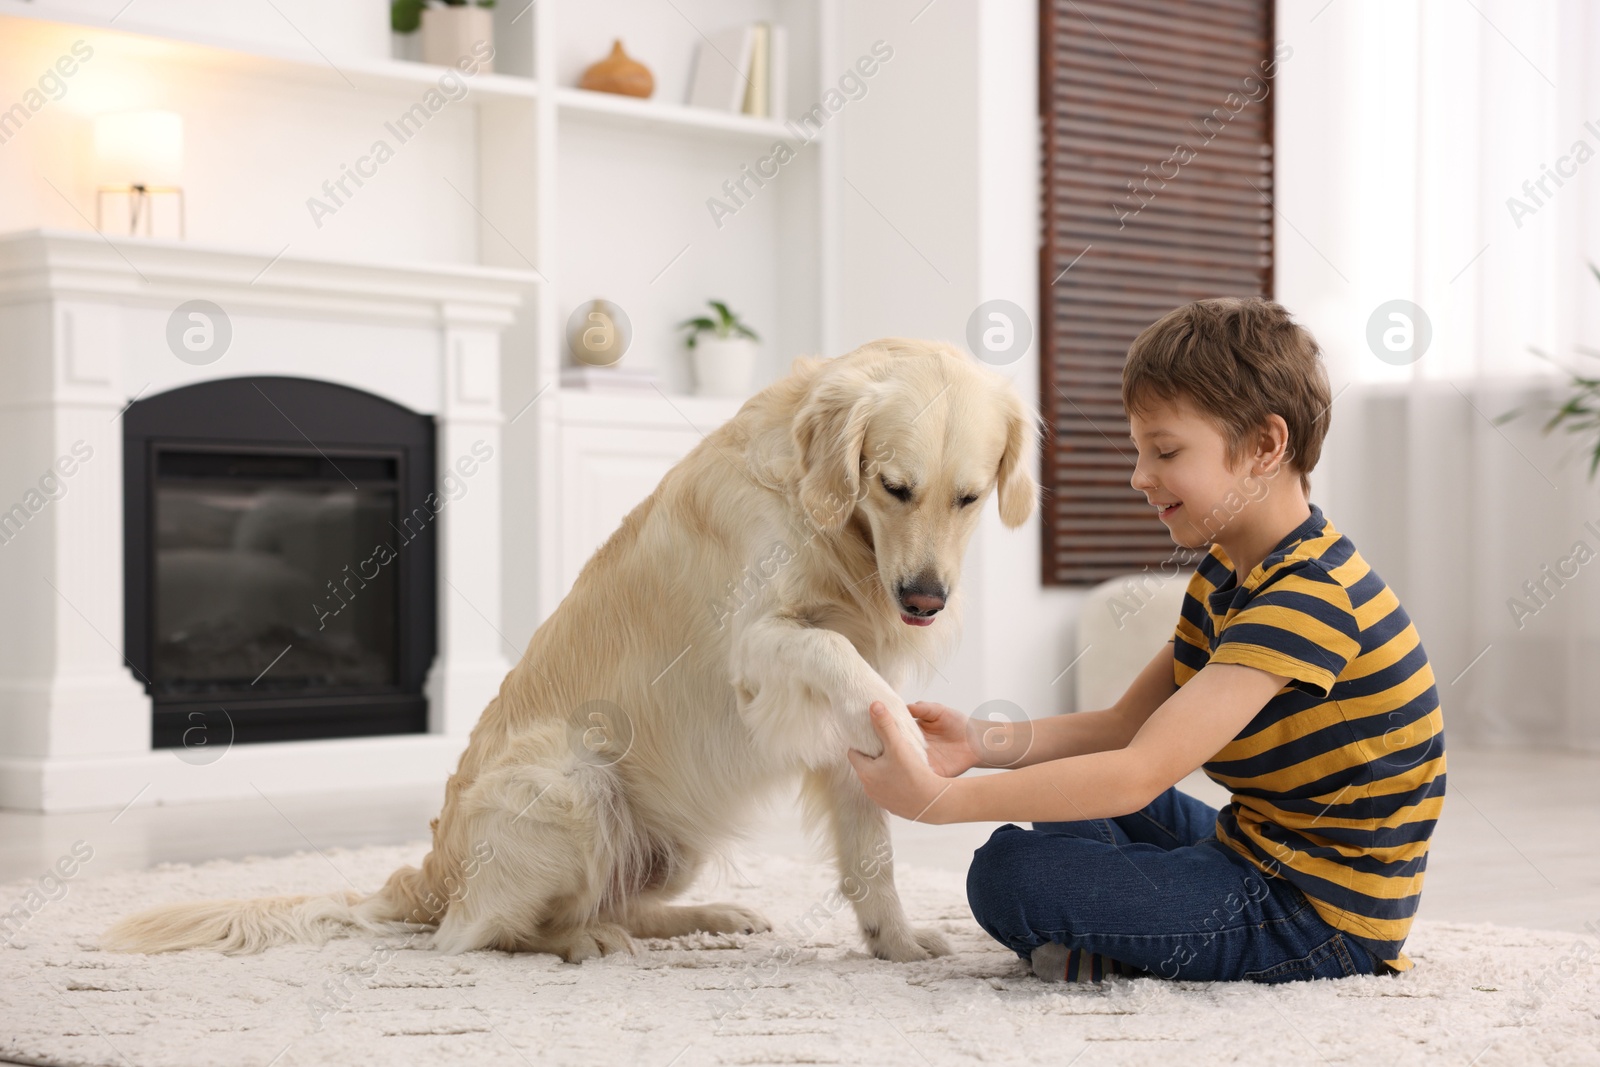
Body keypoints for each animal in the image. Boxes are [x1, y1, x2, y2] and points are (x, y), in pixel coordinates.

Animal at [106, 337, 1043, 966]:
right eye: (893, 487)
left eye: (969, 498)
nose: (923, 600)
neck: (838, 533)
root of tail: (426, 880)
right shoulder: (760, 646)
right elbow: (840, 664)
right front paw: (916, 742)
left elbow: (872, 851)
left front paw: (897, 942)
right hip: (571, 783)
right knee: (491, 933)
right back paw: (586, 939)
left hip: (670, 837)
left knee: (616, 902)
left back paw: (709, 917)